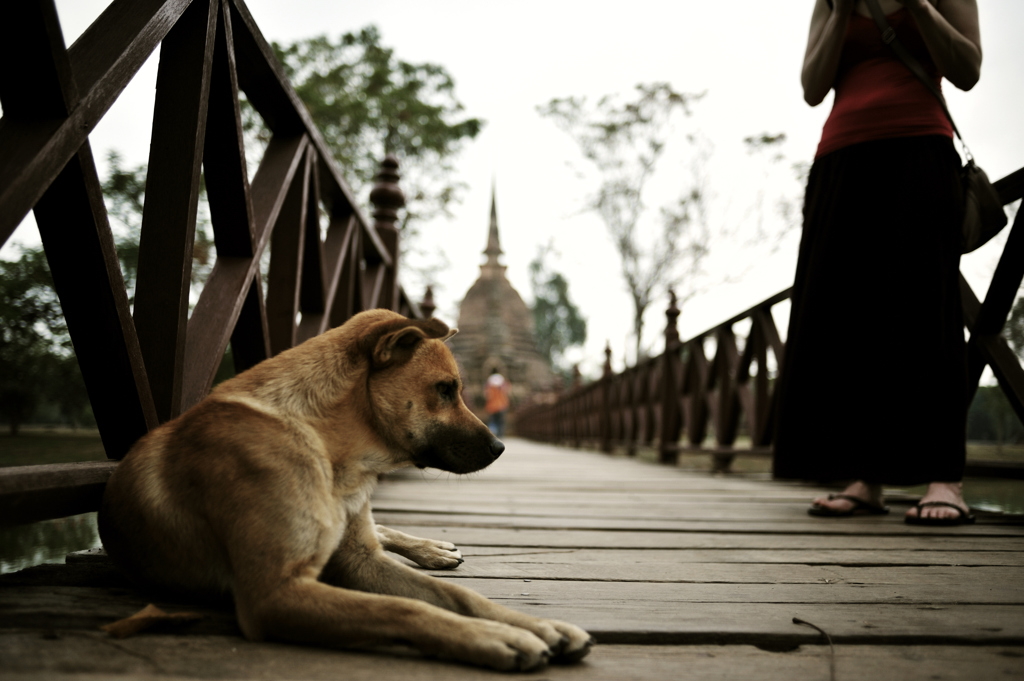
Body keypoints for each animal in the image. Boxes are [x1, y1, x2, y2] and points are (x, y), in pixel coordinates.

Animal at [97, 307, 593, 667]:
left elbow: (460, 596)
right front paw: (497, 637)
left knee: (384, 532)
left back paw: (430, 548)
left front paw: (535, 624)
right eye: (446, 389)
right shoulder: (275, 593)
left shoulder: (358, 562)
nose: (500, 447)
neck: (323, 442)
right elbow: (406, 609)